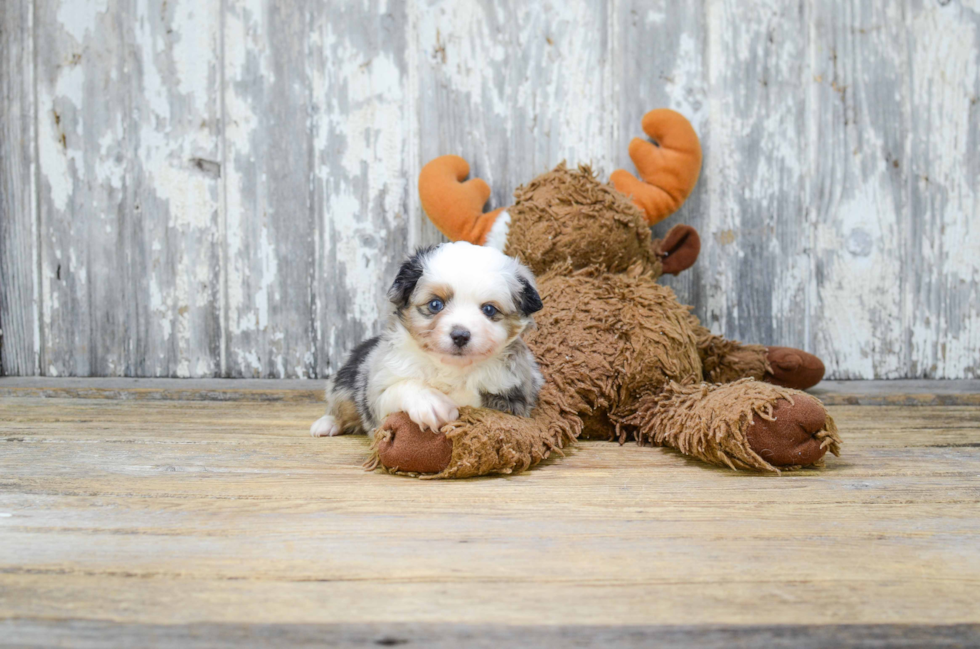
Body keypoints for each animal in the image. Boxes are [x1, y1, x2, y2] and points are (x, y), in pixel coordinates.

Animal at [310, 240, 544, 438]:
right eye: (435, 304)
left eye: (489, 309)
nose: (460, 335)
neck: (451, 368)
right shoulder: (378, 393)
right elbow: (402, 387)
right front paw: (431, 403)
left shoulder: (514, 399)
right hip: (346, 383)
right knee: (341, 404)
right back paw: (327, 424)